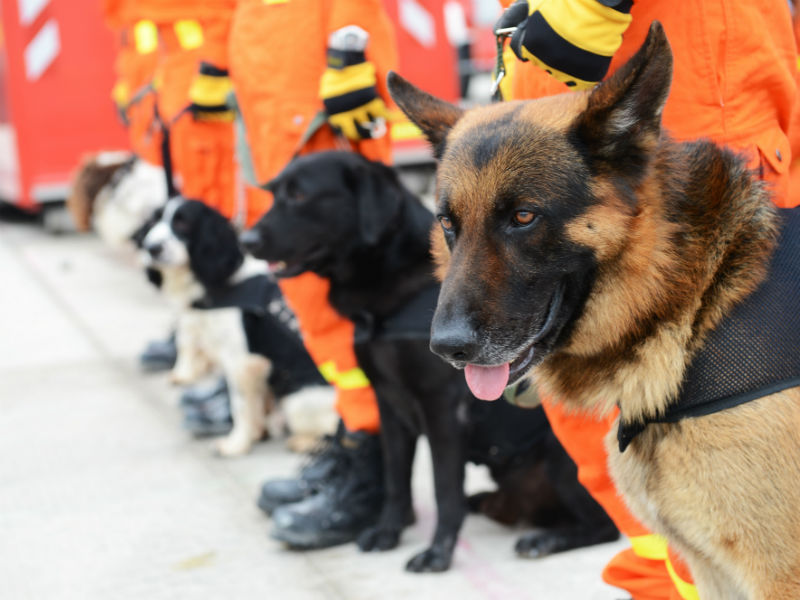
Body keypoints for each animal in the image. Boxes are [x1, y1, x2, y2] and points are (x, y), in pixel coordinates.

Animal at [140, 197, 331, 456]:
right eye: (153, 221)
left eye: (183, 223)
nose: (152, 248)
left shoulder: (240, 362)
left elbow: (240, 406)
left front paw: (236, 444)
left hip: (298, 398)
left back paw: (306, 441)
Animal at [241, 151, 618, 572]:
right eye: (275, 192)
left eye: (300, 195)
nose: (245, 240)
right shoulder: (389, 405)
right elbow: (396, 479)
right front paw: (387, 532)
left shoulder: (443, 410)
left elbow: (443, 490)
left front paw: (437, 553)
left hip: (561, 460)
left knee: (607, 526)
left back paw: (546, 539)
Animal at [389, 22, 800, 598]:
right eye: (449, 223)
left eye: (523, 216)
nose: (447, 348)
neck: (698, 302)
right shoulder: (713, 571)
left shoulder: (775, 574)